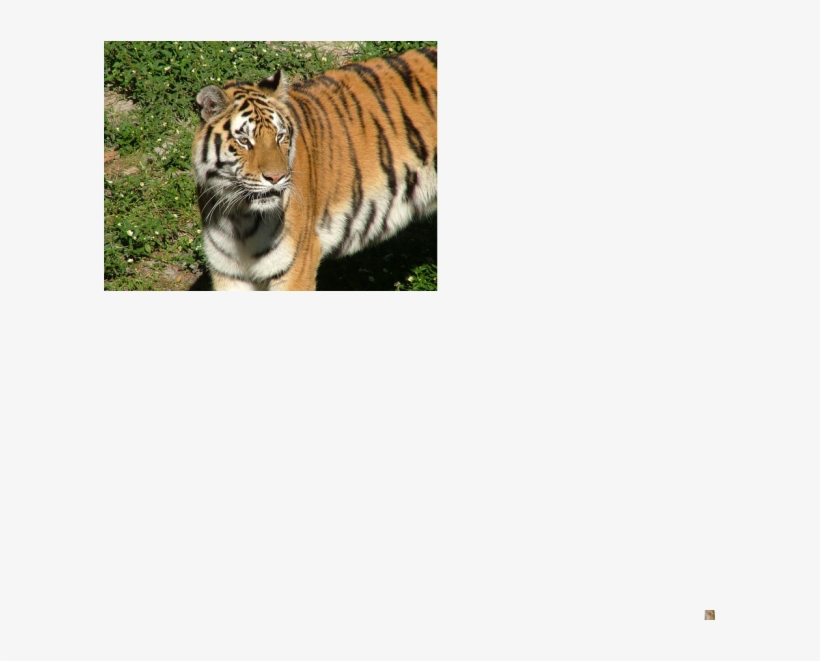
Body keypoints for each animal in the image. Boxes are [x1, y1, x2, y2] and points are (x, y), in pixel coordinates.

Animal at [191, 47, 437, 291]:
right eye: (244, 140)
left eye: (280, 136)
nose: (276, 177)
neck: (239, 218)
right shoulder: (229, 273)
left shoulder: (295, 265)